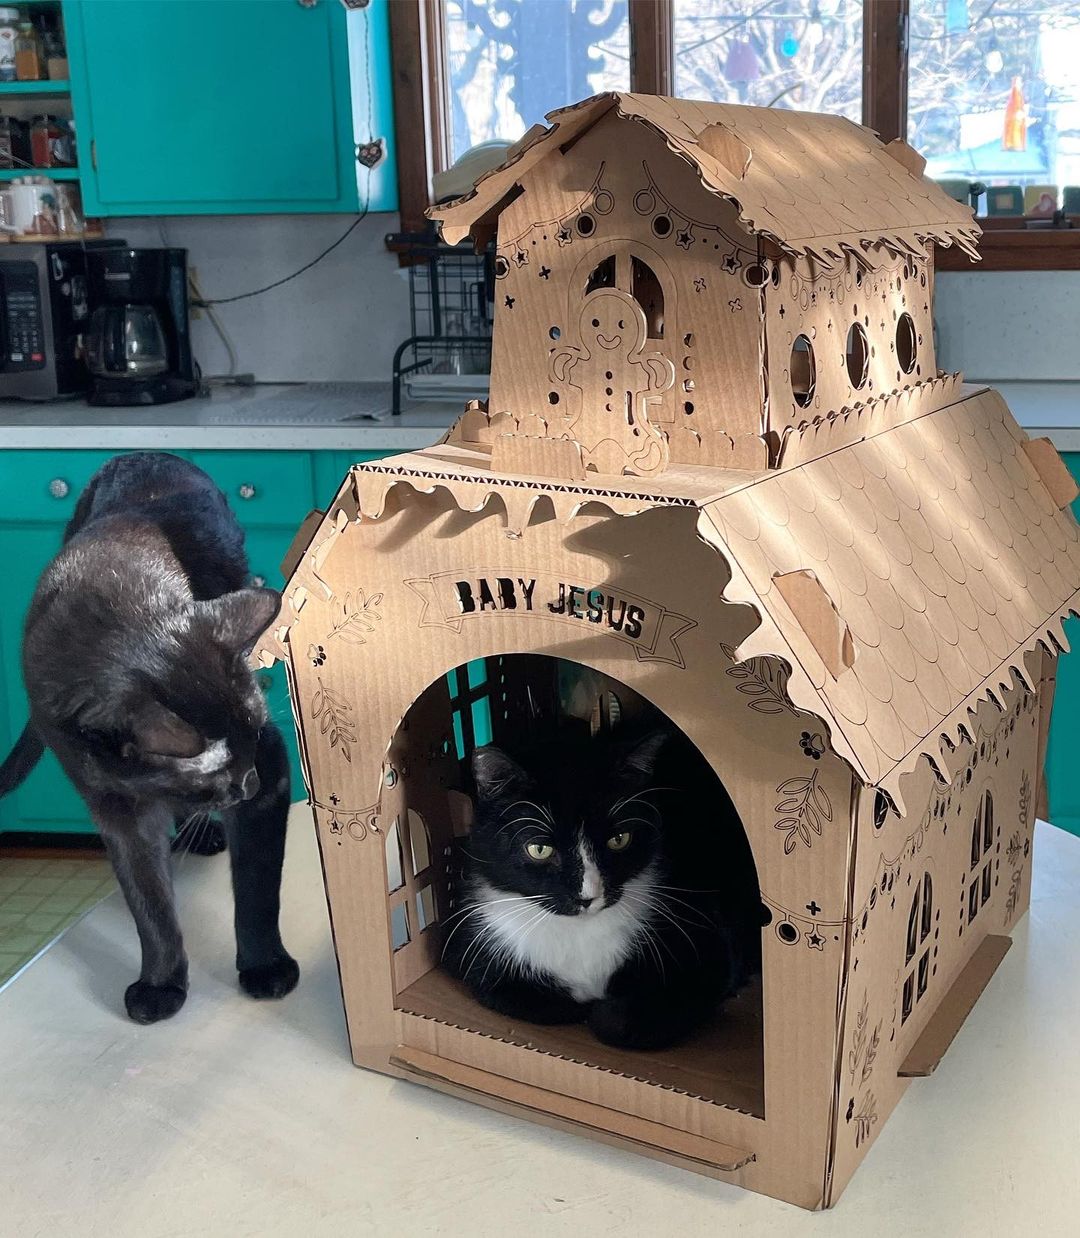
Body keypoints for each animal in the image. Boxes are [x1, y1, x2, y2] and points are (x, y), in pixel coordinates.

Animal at [0, 455, 297, 1025]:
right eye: (218, 772)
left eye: (255, 736)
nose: (249, 783)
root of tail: (139, 455)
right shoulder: (115, 807)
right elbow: (149, 903)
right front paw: (161, 985)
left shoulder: (274, 767)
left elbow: (256, 888)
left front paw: (265, 968)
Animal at [443, 727, 762, 1049]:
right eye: (539, 849)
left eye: (619, 839)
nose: (588, 896)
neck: (579, 932)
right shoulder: (473, 945)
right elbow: (509, 993)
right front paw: (581, 1005)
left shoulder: (706, 945)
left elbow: (635, 1013)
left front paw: (604, 1011)